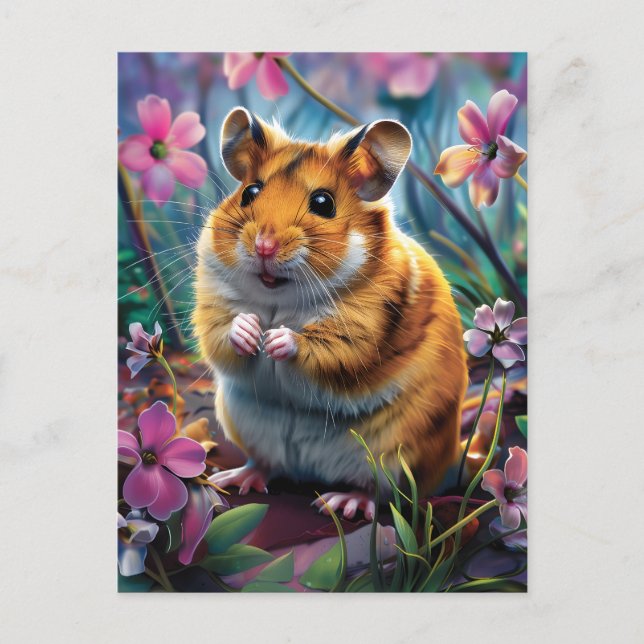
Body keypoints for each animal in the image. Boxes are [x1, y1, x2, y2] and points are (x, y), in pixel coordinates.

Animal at [193, 107, 468, 520]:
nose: (264, 246)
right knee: (267, 464)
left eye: (324, 203)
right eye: (249, 193)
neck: (280, 300)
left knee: (376, 492)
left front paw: (277, 339)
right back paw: (236, 478)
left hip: (396, 450)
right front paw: (251, 331)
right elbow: (221, 334)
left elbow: (328, 347)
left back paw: (339, 503)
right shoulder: (213, 298)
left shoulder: (364, 329)